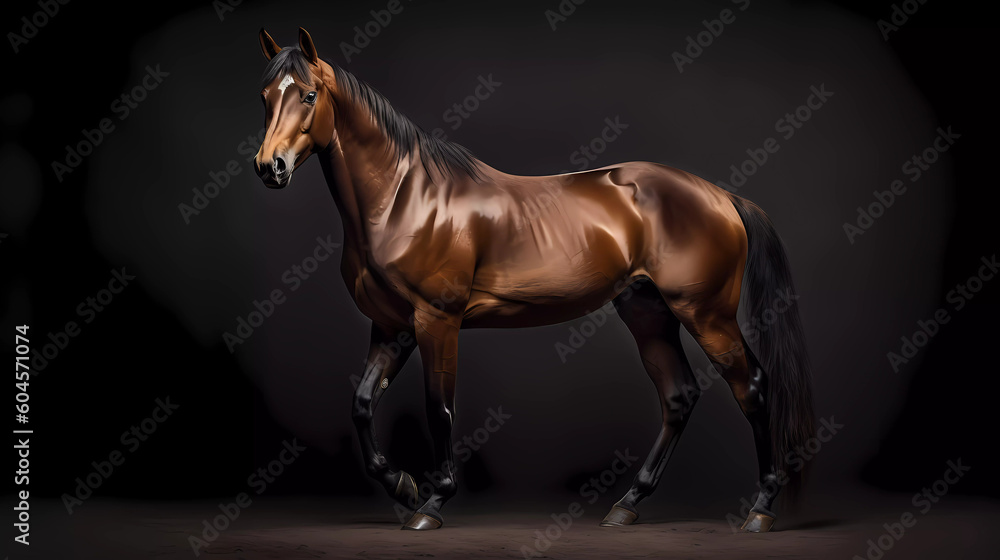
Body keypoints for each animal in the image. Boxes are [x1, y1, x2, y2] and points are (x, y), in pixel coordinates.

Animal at [253, 27, 815, 533]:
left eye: (308, 95)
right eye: (265, 97)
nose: (269, 167)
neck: (402, 200)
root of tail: (722, 196)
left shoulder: (437, 320)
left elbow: (439, 408)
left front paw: (432, 501)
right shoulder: (392, 327)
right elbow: (363, 404)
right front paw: (404, 485)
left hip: (706, 315)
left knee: (752, 388)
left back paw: (761, 509)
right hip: (648, 313)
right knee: (678, 396)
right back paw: (627, 505)